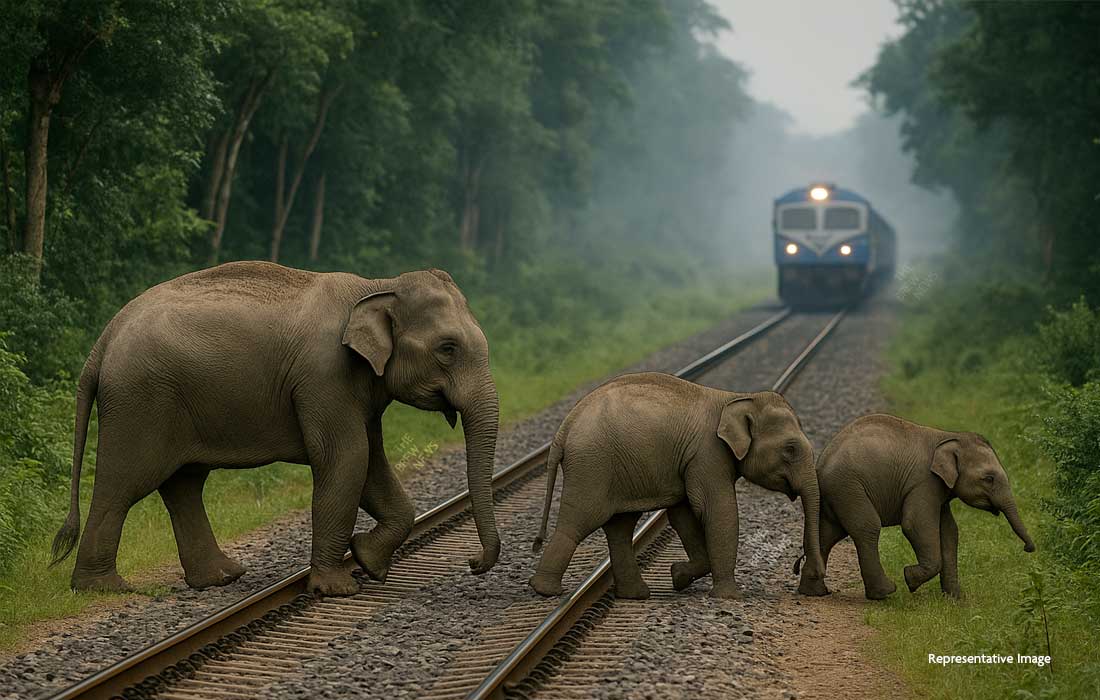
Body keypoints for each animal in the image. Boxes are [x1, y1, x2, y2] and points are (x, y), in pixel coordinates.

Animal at [49, 261, 501, 596]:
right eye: (447, 348)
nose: (473, 562)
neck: (377, 285)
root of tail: (105, 338)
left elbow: (370, 461)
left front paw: (368, 562)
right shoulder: (324, 376)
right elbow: (347, 458)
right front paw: (337, 588)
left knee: (184, 484)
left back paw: (222, 577)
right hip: (140, 400)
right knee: (125, 483)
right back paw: (102, 588)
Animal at [529, 372, 823, 600]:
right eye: (790, 449)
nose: (805, 572)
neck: (735, 398)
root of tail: (564, 428)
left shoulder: (692, 461)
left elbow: (683, 514)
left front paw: (677, 576)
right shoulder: (707, 454)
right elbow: (716, 509)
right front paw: (729, 597)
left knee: (620, 527)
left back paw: (635, 595)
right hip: (592, 465)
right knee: (580, 521)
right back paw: (545, 590)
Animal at [795, 414, 1036, 600]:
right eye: (989, 478)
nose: (1029, 549)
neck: (947, 436)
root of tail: (819, 464)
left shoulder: (939, 490)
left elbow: (949, 531)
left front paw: (955, 599)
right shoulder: (924, 482)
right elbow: (915, 524)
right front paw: (909, 579)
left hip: (838, 495)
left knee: (828, 534)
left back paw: (814, 592)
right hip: (849, 488)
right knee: (867, 528)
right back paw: (885, 593)